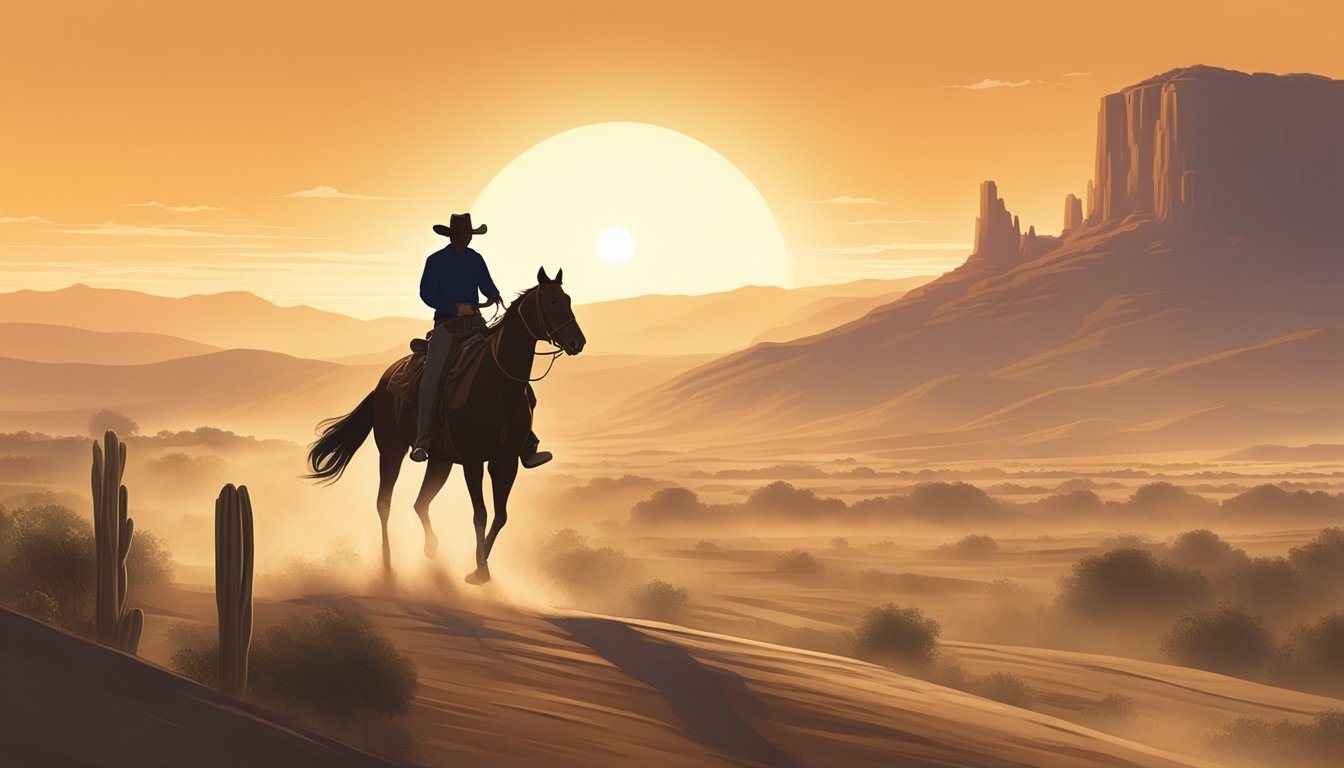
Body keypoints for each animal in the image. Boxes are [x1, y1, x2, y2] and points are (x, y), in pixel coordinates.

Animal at [307, 269, 585, 583]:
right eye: (551, 301)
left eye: (568, 299)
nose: (578, 342)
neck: (497, 384)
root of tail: (382, 383)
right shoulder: (474, 461)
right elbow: (481, 514)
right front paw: (481, 570)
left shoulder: (506, 461)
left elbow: (500, 515)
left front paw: (477, 566)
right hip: (391, 450)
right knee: (384, 503)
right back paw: (387, 567)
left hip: (440, 460)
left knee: (420, 503)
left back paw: (431, 548)